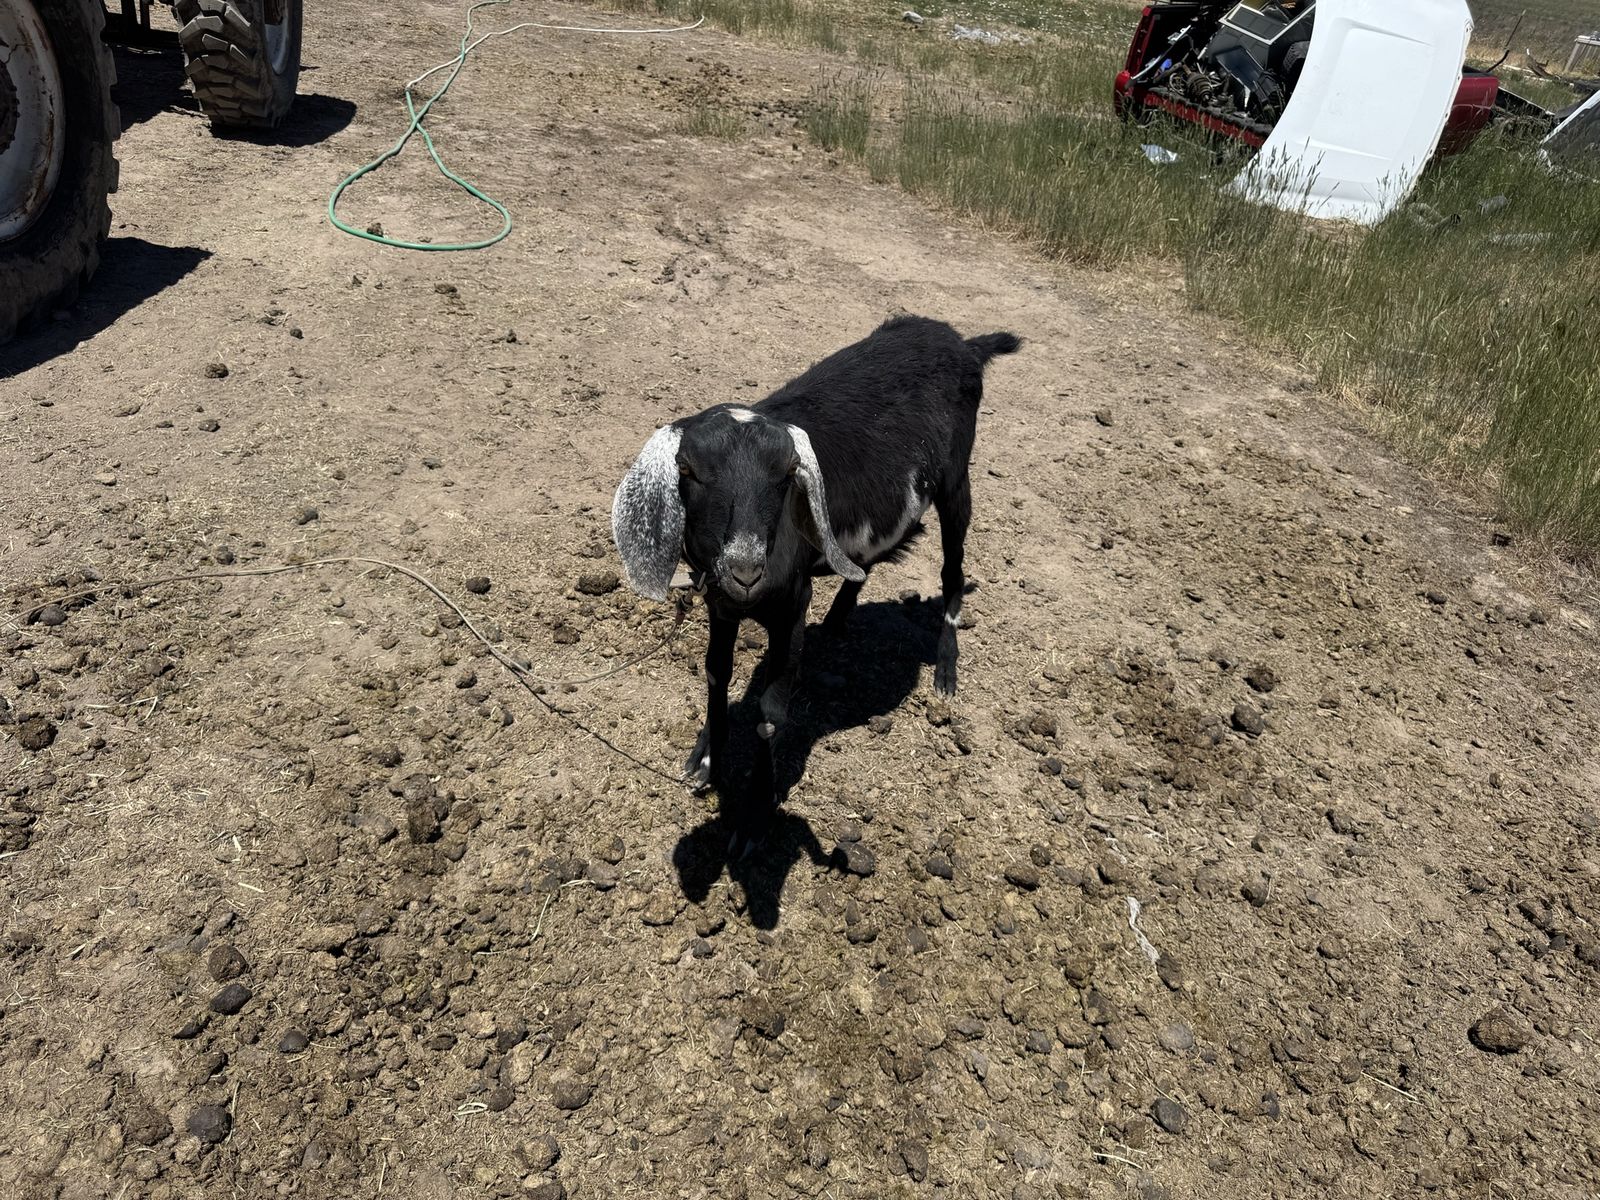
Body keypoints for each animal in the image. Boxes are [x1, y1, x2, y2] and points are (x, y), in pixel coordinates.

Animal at [612, 314, 1020, 812]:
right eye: (686, 470)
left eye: (789, 473)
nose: (745, 571)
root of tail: (963, 343)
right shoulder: (720, 606)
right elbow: (715, 674)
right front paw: (706, 760)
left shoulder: (792, 604)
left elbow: (771, 710)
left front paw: (761, 798)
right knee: (868, 562)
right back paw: (838, 618)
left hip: (956, 481)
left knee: (953, 569)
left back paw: (945, 668)